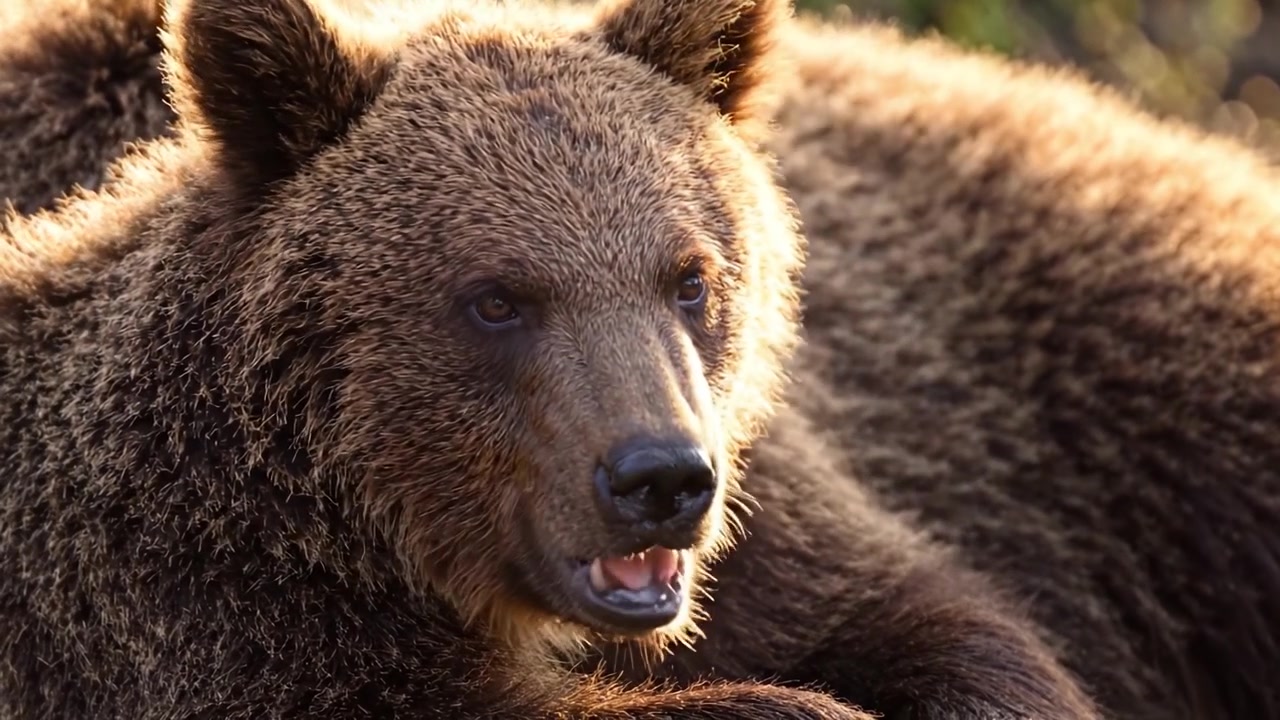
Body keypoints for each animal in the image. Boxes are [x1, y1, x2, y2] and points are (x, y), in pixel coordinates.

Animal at [4, 1, 1280, 720]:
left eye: (689, 276)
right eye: (495, 299)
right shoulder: (194, 600)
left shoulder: (771, 500)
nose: (657, 480)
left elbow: (925, 624)